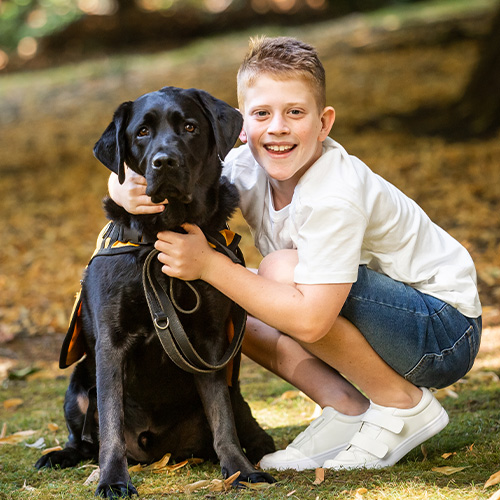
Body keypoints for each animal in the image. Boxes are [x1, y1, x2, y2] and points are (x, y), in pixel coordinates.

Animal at [37, 88, 276, 498]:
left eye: (190, 127)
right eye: (142, 132)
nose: (164, 162)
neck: (164, 237)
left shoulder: (208, 342)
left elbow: (222, 419)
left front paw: (240, 470)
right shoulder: (110, 343)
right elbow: (111, 424)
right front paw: (113, 479)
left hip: (236, 393)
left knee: (242, 422)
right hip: (77, 385)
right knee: (82, 439)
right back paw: (59, 456)